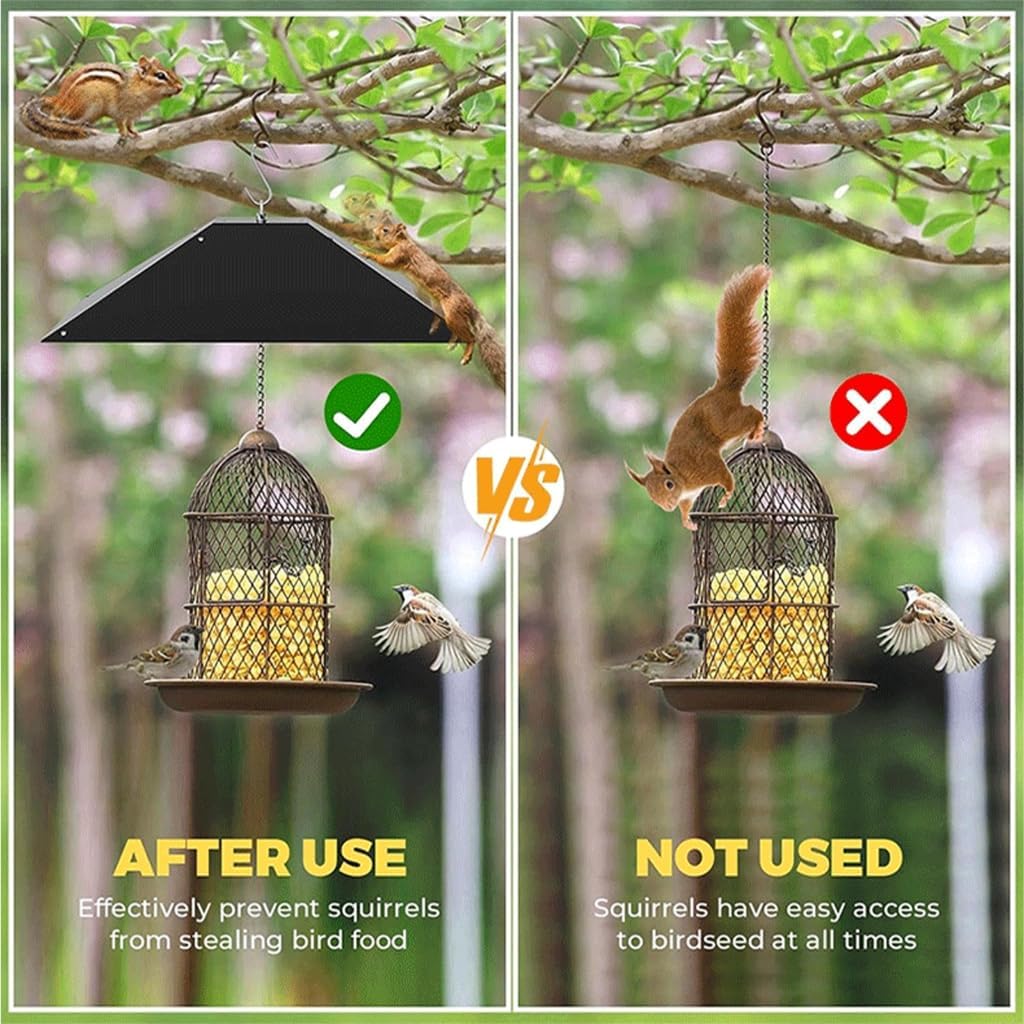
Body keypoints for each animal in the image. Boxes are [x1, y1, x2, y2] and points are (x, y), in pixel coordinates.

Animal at [20, 56, 182, 140]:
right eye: (160, 75)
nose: (180, 87)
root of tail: (59, 99)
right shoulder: (120, 110)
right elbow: (120, 123)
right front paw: (124, 134)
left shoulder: (132, 115)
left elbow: (130, 124)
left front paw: (134, 133)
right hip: (88, 104)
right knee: (60, 117)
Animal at [625, 264, 770, 531]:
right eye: (651, 496)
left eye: (668, 484)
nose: (667, 506)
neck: (682, 475)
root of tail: (720, 388)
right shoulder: (688, 496)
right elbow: (686, 507)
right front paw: (687, 522)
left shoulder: (705, 466)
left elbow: (724, 476)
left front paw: (727, 494)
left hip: (724, 422)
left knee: (751, 411)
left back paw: (757, 426)